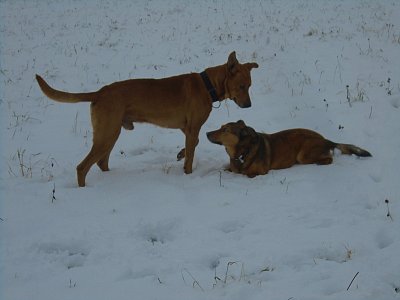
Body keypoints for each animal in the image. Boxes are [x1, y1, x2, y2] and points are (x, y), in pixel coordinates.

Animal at [37, 52, 260, 186]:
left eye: (250, 86)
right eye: (241, 86)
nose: (249, 105)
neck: (208, 85)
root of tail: (99, 93)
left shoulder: (187, 129)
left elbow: (192, 145)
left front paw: (180, 154)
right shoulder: (193, 127)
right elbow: (191, 155)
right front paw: (187, 173)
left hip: (111, 133)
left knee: (101, 162)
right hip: (107, 134)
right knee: (82, 167)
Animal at [206, 120, 372, 177]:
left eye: (225, 130)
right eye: (221, 127)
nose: (206, 133)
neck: (242, 152)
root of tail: (326, 140)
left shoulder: (261, 172)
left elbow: (247, 174)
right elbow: (227, 169)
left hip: (303, 155)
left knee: (329, 158)